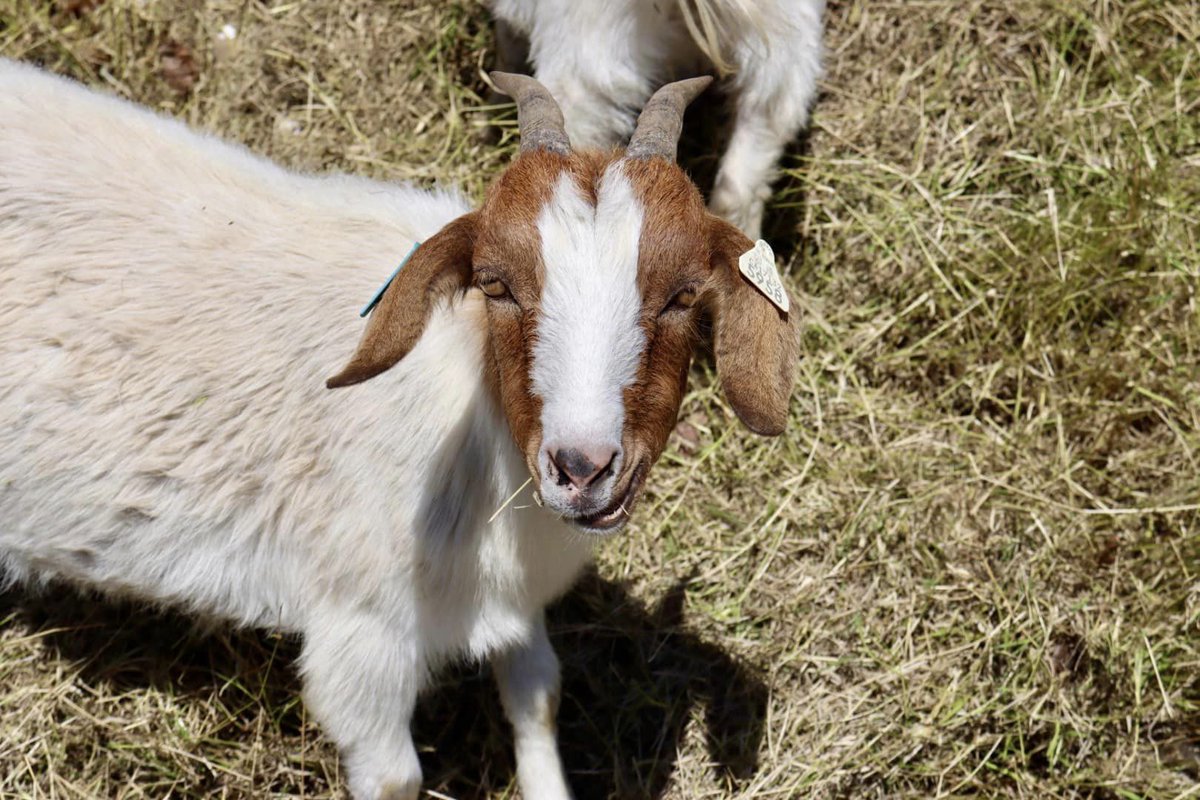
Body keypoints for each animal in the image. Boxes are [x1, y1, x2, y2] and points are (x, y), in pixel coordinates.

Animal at [0, 59, 798, 799]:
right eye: (495, 285)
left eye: (685, 294)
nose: (582, 467)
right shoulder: (363, 635)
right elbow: (394, 776)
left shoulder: (511, 600)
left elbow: (536, 696)